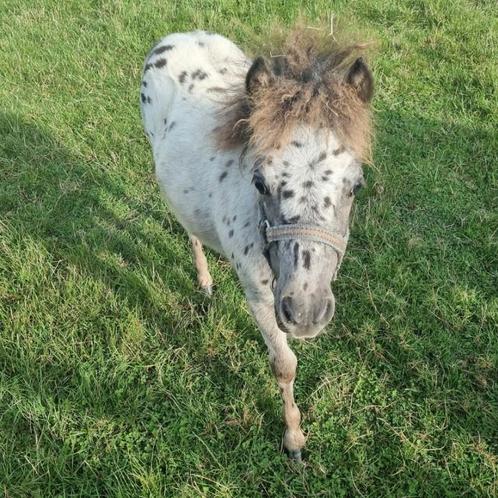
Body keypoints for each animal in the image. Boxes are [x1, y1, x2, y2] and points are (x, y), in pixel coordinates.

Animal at [141, 29, 374, 462]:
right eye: (260, 183)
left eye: (356, 186)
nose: (305, 313)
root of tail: (180, 35)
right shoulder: (259, 296)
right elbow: (284, 364)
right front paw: (294, 441)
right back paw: (204, 282)